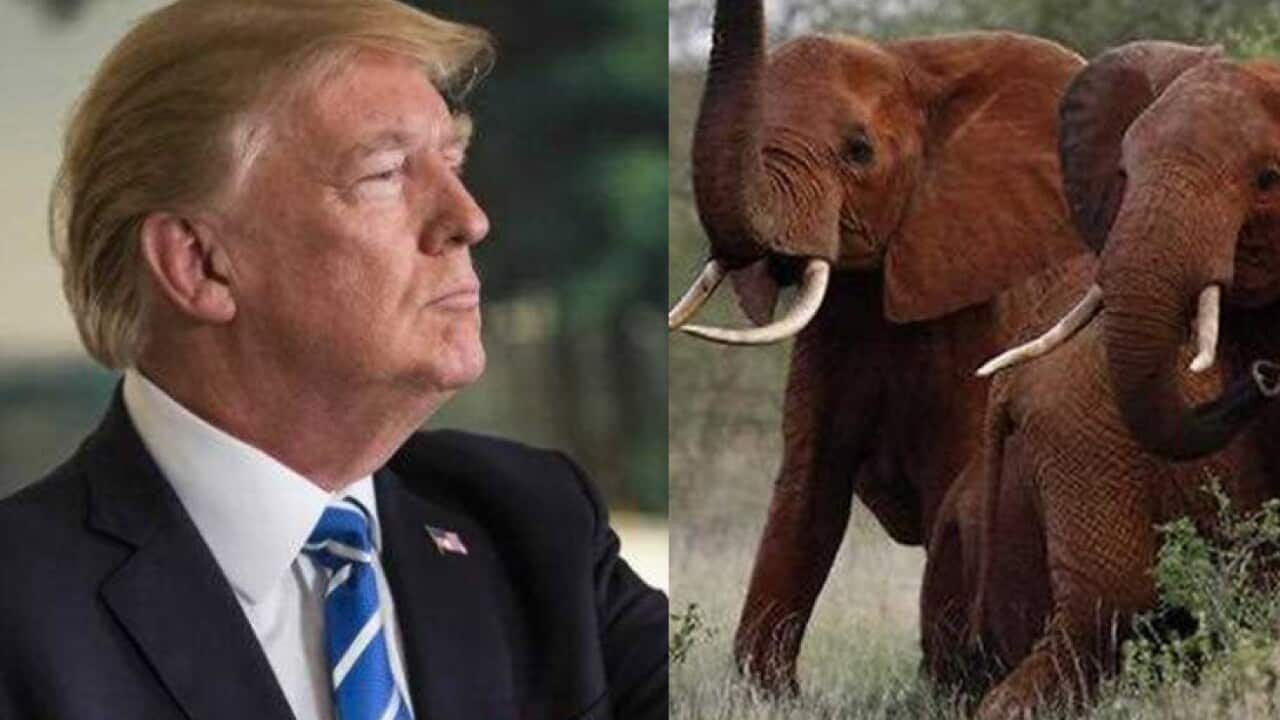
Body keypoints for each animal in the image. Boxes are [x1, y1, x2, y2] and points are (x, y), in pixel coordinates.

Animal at [921, 41, 1280, 718]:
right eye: (1123, 175)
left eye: (1269, 178)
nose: (1267, 379)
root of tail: (1009, 385)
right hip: (1082, 440)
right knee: (1107, 613)